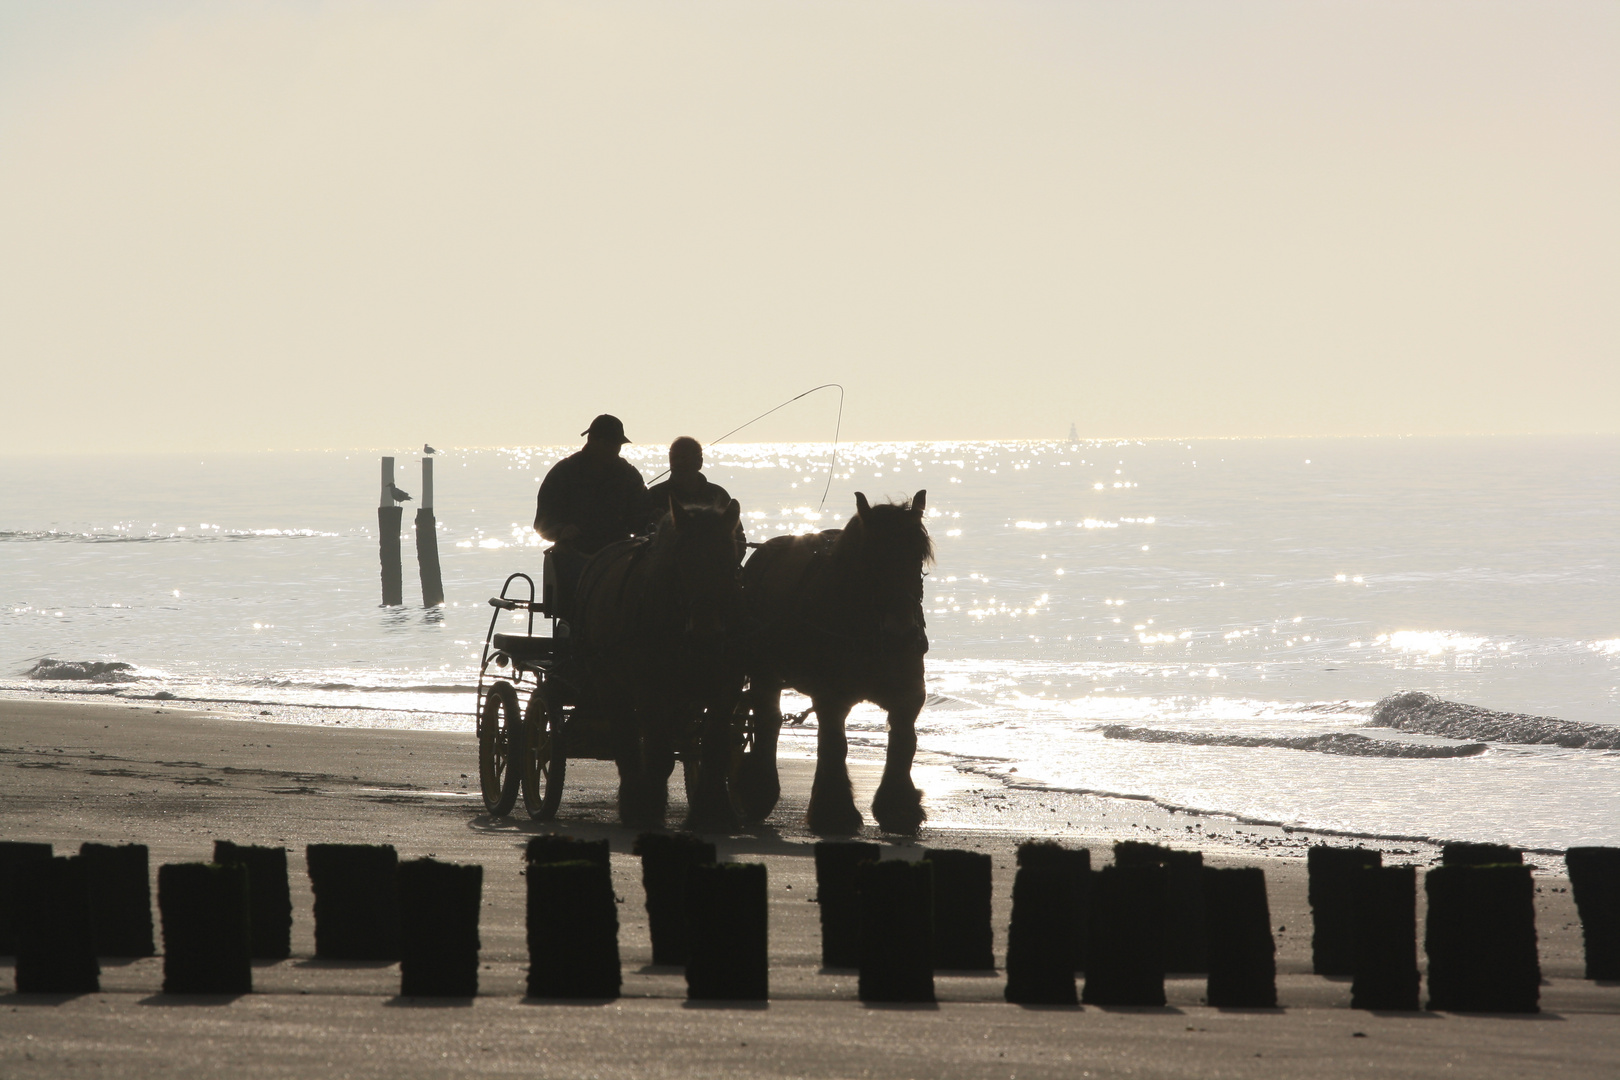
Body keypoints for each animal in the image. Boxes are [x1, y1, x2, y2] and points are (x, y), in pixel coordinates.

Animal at [573, 495, 741, 835]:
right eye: (680, 563)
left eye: (730, 564)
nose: (705, 635)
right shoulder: (650, 689)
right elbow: (659, 754)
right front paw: (649, 811)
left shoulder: (726, 688)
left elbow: (715, 748)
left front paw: (715, 813)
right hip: (607, 681)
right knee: (626, 739)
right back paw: (633, 803)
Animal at [741, 488, 933, 835]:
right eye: (871, 560)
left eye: (917, 557)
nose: (901, 635)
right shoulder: (831, 697)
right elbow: (834, 744)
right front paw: (834, 812)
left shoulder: (908, 696)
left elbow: (903, 743)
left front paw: (899, 808)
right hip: (764, 672)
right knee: (768, 720)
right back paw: (759, 791)